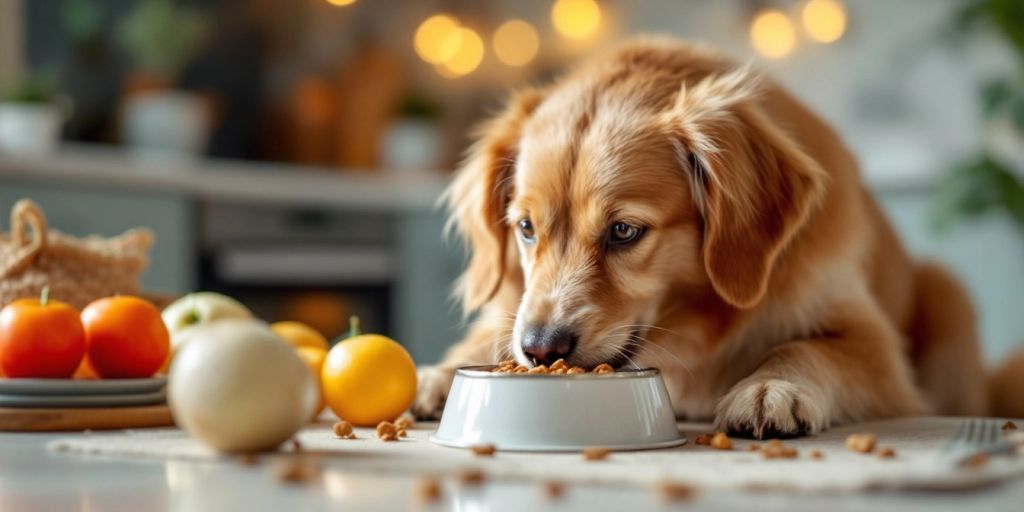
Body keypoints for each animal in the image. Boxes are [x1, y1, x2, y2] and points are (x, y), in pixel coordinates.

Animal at [413, 37, 1015, 436]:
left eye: (624, 231)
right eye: (525, 228)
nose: (541, 350)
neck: (695, 324)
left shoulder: (876, 349)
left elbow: (808, 345)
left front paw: (770, 388)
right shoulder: (513, 308)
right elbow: (489, 331)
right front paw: (437, 375)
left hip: (947, 291)